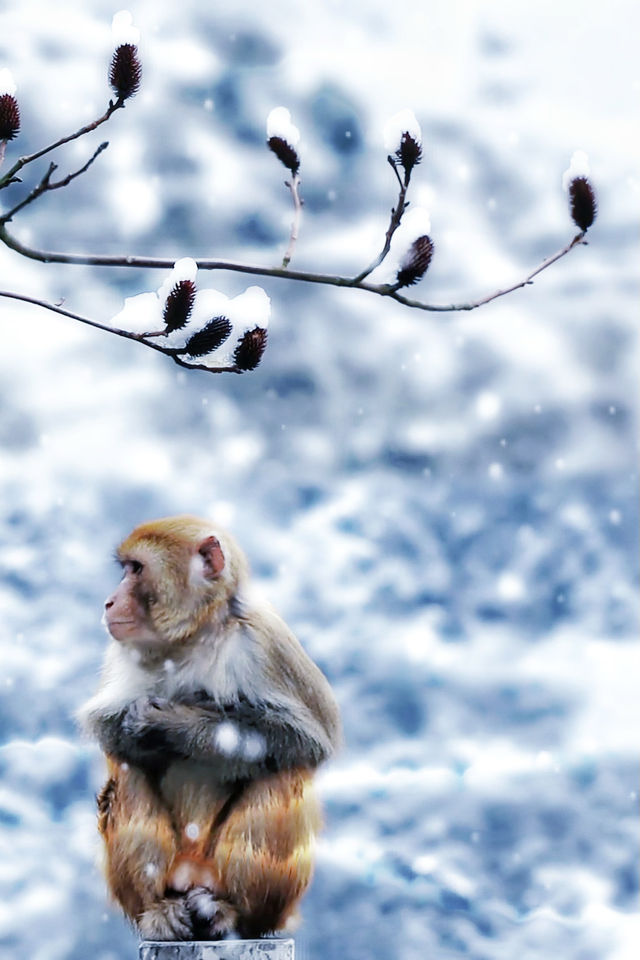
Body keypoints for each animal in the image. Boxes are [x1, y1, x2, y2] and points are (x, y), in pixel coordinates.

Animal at [79, 512, 340, 940]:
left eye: (136, 569)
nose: (109, 601)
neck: (192, 638)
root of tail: (192, 874)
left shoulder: (264, 641)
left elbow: (311, 739)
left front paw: (171, 723)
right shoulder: (123, 654)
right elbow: (106, 726)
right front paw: (148, 727)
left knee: (283, 771)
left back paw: (232, 914)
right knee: (127, 770)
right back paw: (160, 912)